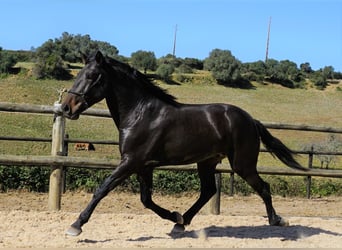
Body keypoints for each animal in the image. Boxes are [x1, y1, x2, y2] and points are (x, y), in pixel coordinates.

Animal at [61, 51, 308, 236]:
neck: (140, 114)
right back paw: (181, 222)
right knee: (208, 191)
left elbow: (102, 189)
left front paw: (76, 225)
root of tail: (251, 120)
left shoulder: (131, 162)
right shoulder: (144, 166)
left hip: (242, 164)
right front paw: (174, 215)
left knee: (263, 187)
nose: (66, 107)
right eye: (79, 74)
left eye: (92, 75)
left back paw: (277, 220)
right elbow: (146, 200)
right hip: (207, 162)